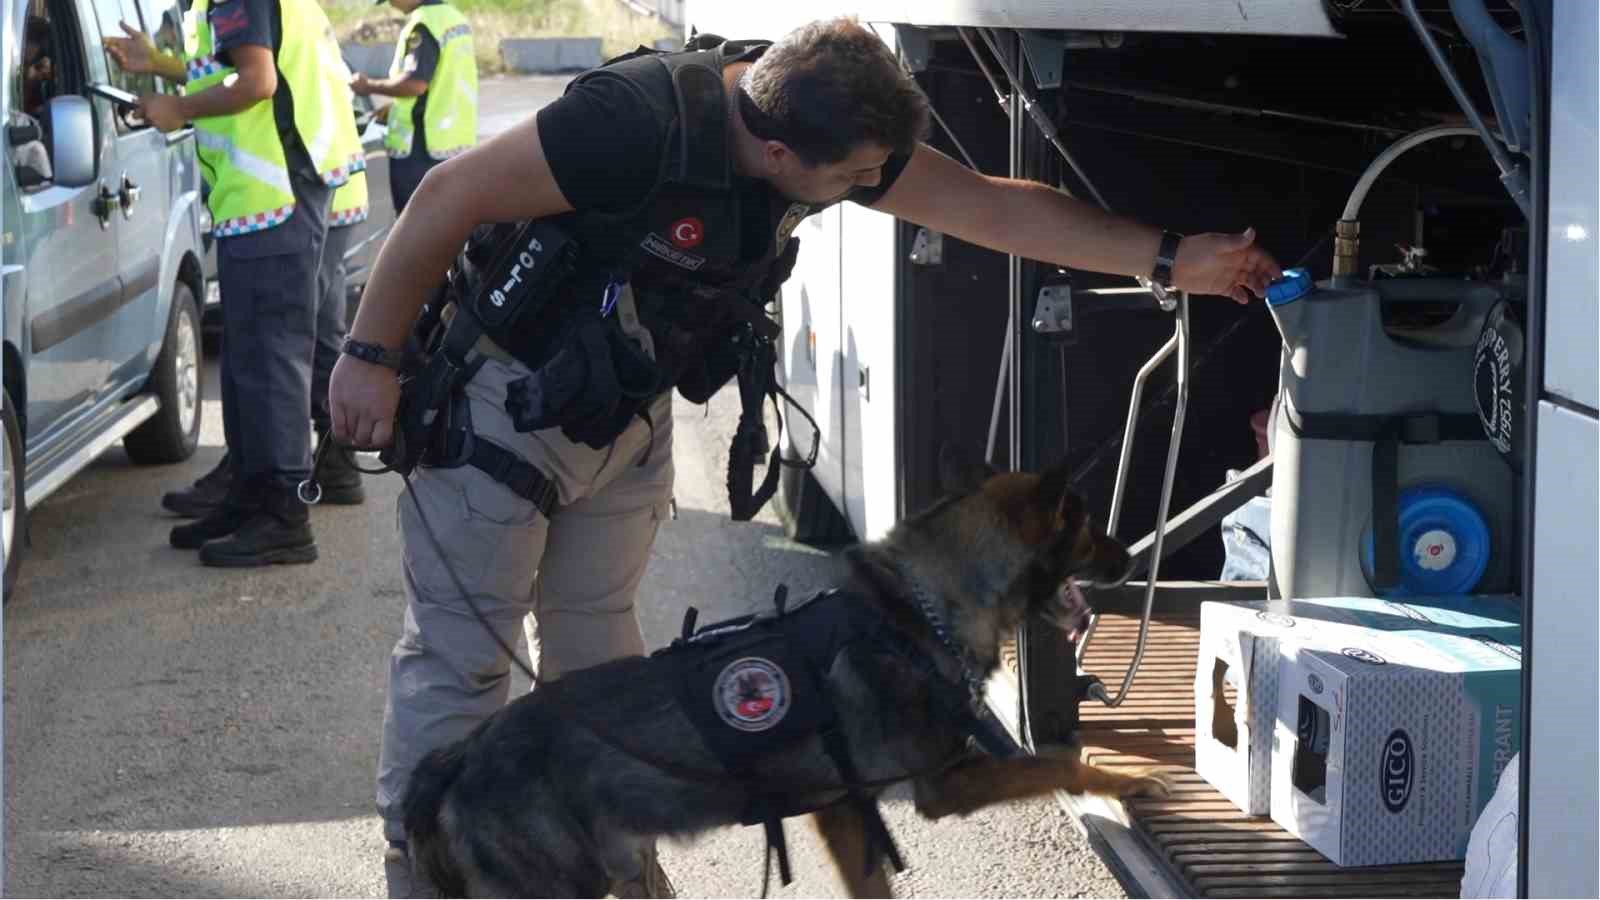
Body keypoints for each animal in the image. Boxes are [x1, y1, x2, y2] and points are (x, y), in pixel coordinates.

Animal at [406, 445, 1171, 890]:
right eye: (1089, 525)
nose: (1133, 559)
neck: (919, 605)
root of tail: (459, 754)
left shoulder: (844, 811)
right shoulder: (939, 786)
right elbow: (1051, 766)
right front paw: (1128, 782)